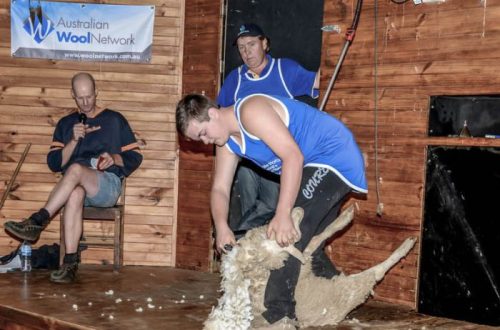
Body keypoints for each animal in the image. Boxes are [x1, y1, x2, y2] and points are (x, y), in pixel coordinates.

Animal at [204, 205, 418, 328]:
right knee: (377, 272)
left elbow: (317, 238)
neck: (263, 272)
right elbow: (313, 241)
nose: (297, 207)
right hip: (352, 289)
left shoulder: (302, 261)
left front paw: (344, 218)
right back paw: (406, 245)